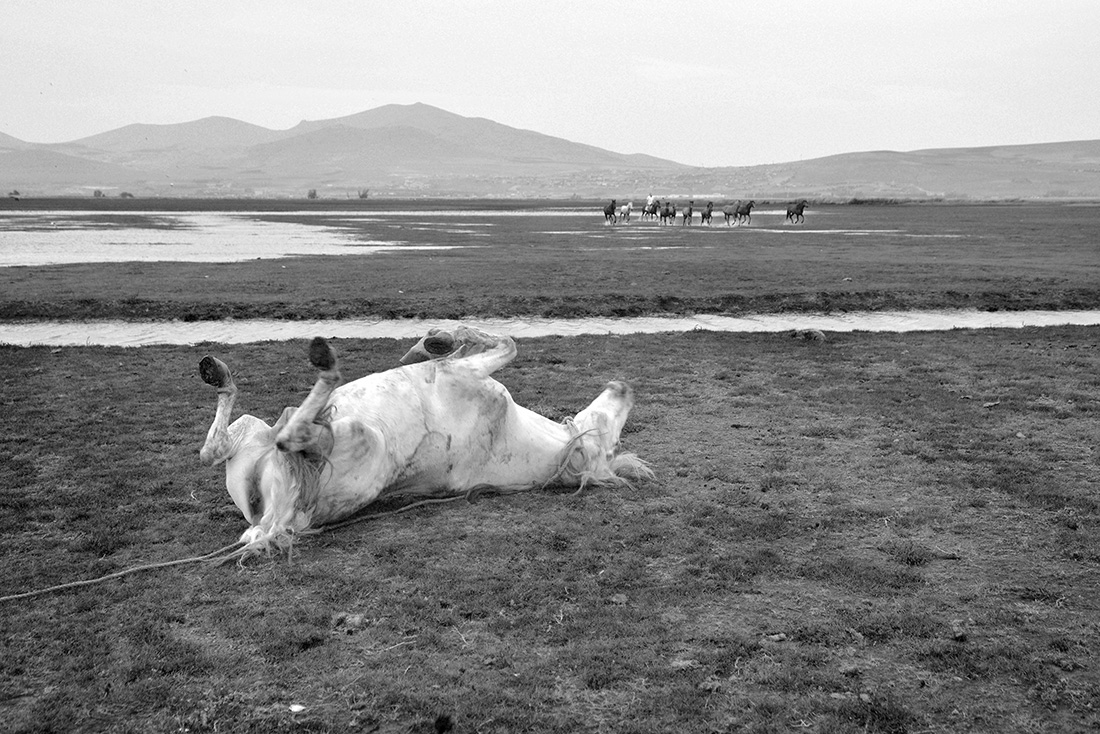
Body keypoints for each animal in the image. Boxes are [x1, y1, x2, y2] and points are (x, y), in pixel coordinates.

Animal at [198, 325, 646, 550]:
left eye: (611, 440)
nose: (625, 386)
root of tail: (274, 524)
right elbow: (466, 345)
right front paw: (431, 342)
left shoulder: (469, 372)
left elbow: (506, 342)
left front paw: (438, 338)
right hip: (251, 436)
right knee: (214, 448)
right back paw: (217, 372)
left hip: (359, 438)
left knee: (289, 434)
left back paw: (322, 367)